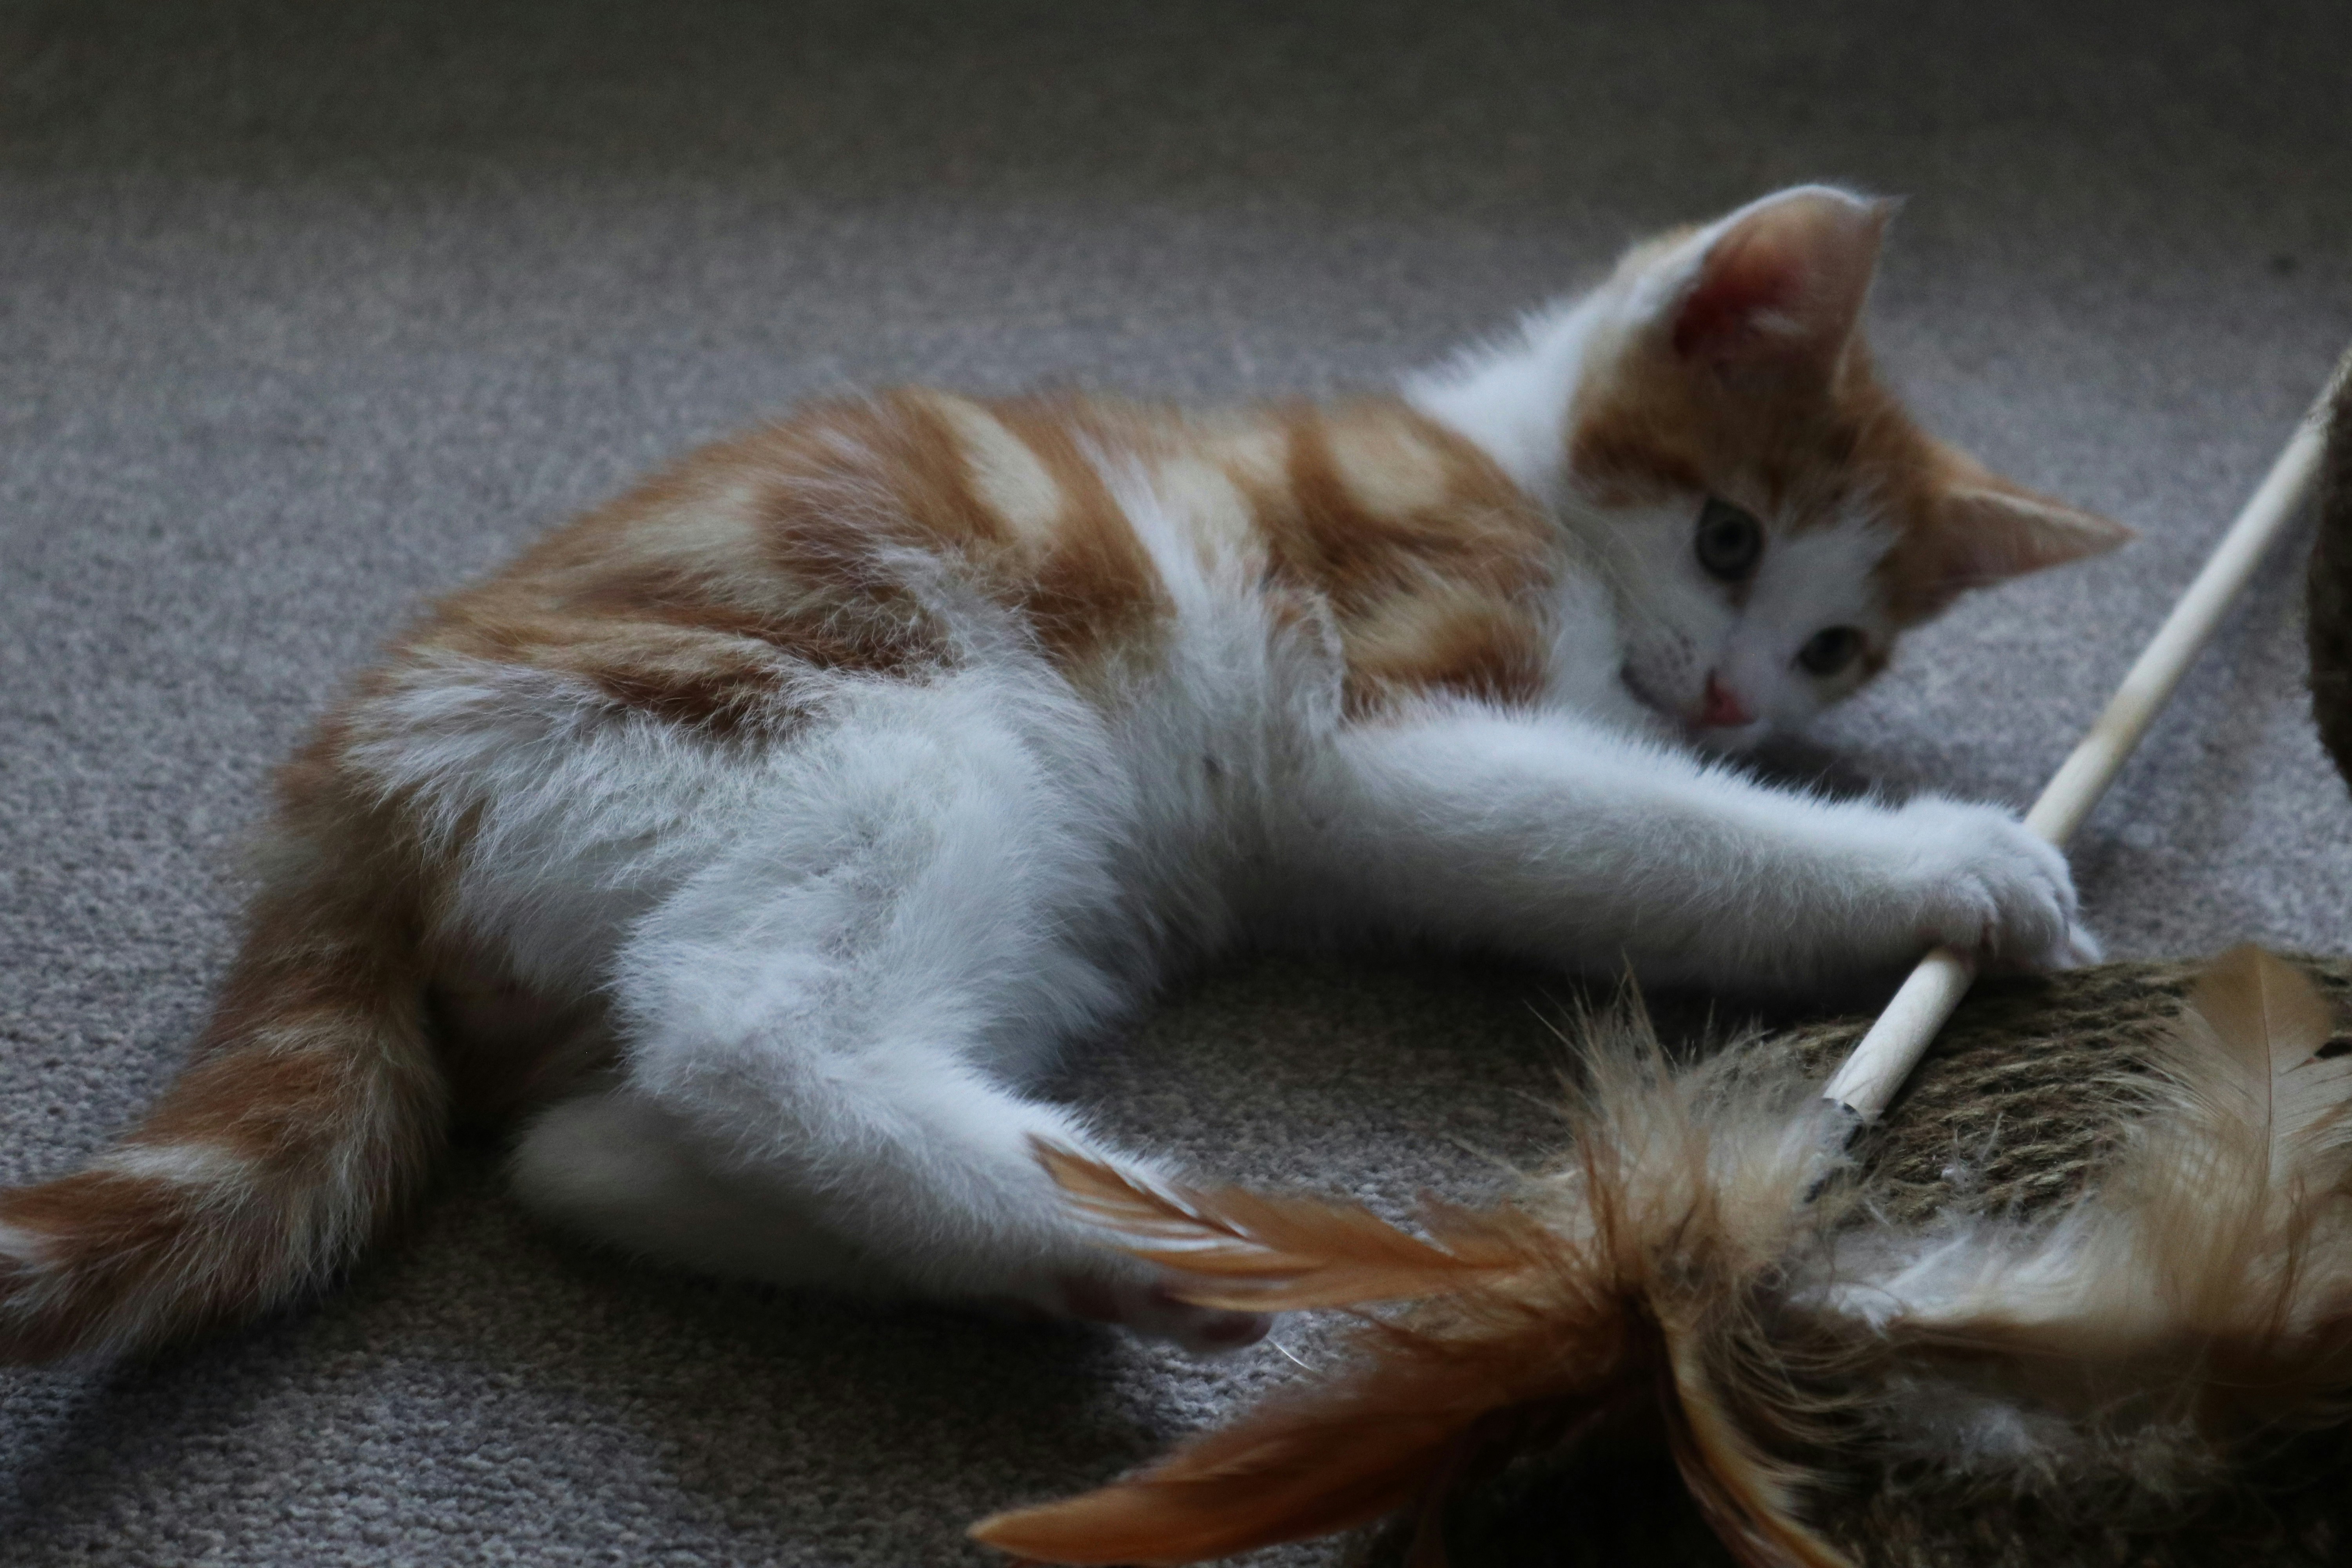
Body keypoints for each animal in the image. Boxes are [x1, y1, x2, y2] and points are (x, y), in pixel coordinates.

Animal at [0, 184, 2136, 1363]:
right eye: (1725, 536)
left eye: (1841, 643)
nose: (1736, 688)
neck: (1511, 465)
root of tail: (347, 790)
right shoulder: (1388, 704)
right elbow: (1638, 832)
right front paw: (1939, 864)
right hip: (863, 730)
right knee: (741, 1025)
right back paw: (1090, 1228)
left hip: (1023, 895)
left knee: (584, 1149)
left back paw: (1036, 1245)